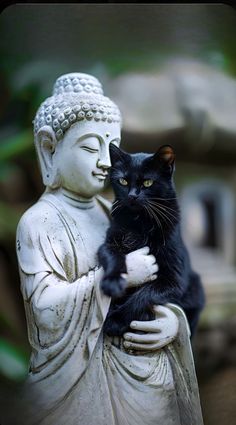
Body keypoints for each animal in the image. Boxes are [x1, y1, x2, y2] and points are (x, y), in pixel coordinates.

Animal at [97, 144, 205, 336]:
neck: (141, 221)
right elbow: (113, 256)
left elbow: (145, 293)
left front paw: (115, 321)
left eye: (147, 183)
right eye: (123, 181)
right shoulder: (109, 242)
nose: (132, 196)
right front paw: (113, 283)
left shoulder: (174, 279)